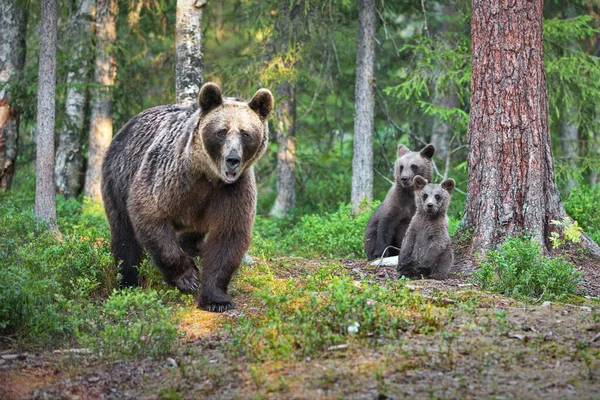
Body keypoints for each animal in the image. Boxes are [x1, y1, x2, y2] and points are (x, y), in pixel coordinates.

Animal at [101, 82, 274, 312]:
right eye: (221, 132)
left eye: (245, 133)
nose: (233, 160)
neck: (208, 175)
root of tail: (127, 125)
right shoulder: (170, 177)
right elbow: (149, 214)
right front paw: (188, 278)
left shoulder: (232, 190)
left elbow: (228, 236)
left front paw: (216, 299)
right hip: (117, 178)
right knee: (124, 235)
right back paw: (127, 282)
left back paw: (193, 248)